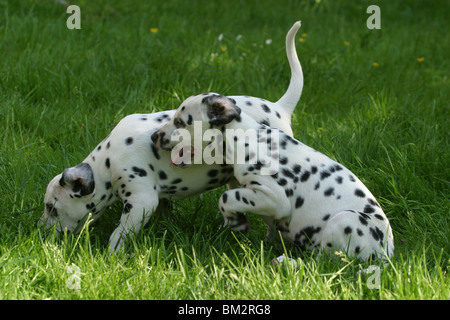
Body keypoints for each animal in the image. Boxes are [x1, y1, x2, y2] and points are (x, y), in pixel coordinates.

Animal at [39, 21, 306, 254]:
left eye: (51, 208)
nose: (39, 231)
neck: (107, 161)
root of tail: (280, 107)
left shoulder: (141, 201)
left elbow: (120, 233)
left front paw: (111, 254)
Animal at [154, 93, 394, 262]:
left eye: (180, 122)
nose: (154, 136)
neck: (246, 139)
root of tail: (387, 253)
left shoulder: (274, 197)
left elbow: (227, 198)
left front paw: (238, 224)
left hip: (344, 220)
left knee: (323, 263)